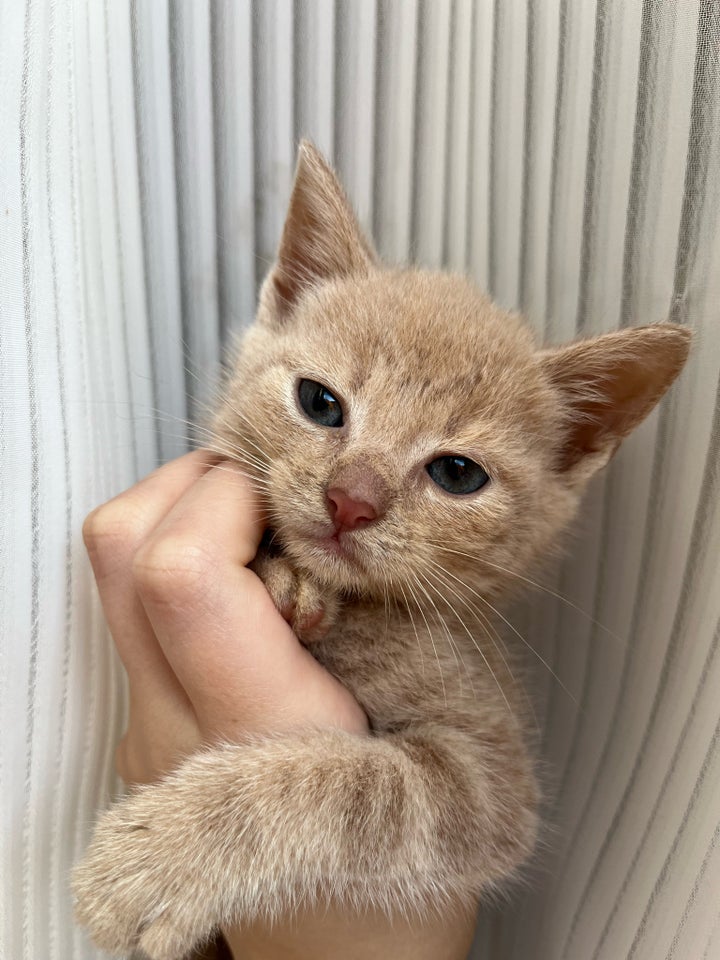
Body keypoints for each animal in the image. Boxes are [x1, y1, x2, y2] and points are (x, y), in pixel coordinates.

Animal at [74, 142, 692, 960]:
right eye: (320, 403)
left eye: (457, 474)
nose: (351, 500)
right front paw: (283, 576)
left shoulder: (490, 782)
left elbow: (342, 784)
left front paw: (157, 859)